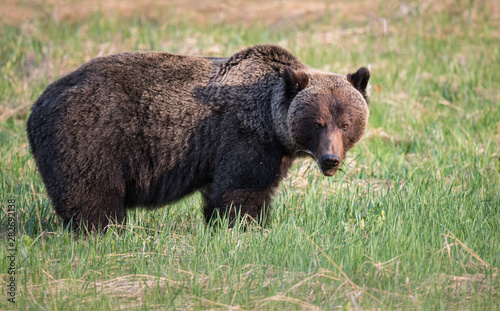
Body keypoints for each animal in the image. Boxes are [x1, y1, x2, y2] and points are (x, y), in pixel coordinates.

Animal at [27, 45, 372, 233]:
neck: (272, 125)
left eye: (345, 123)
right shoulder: (243, 136)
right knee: (91, 193)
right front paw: (244, 227)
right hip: (90, 136)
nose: (330, 160)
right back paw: (103, 231)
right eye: (317, 123)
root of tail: (37, 105)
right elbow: (241, 189)